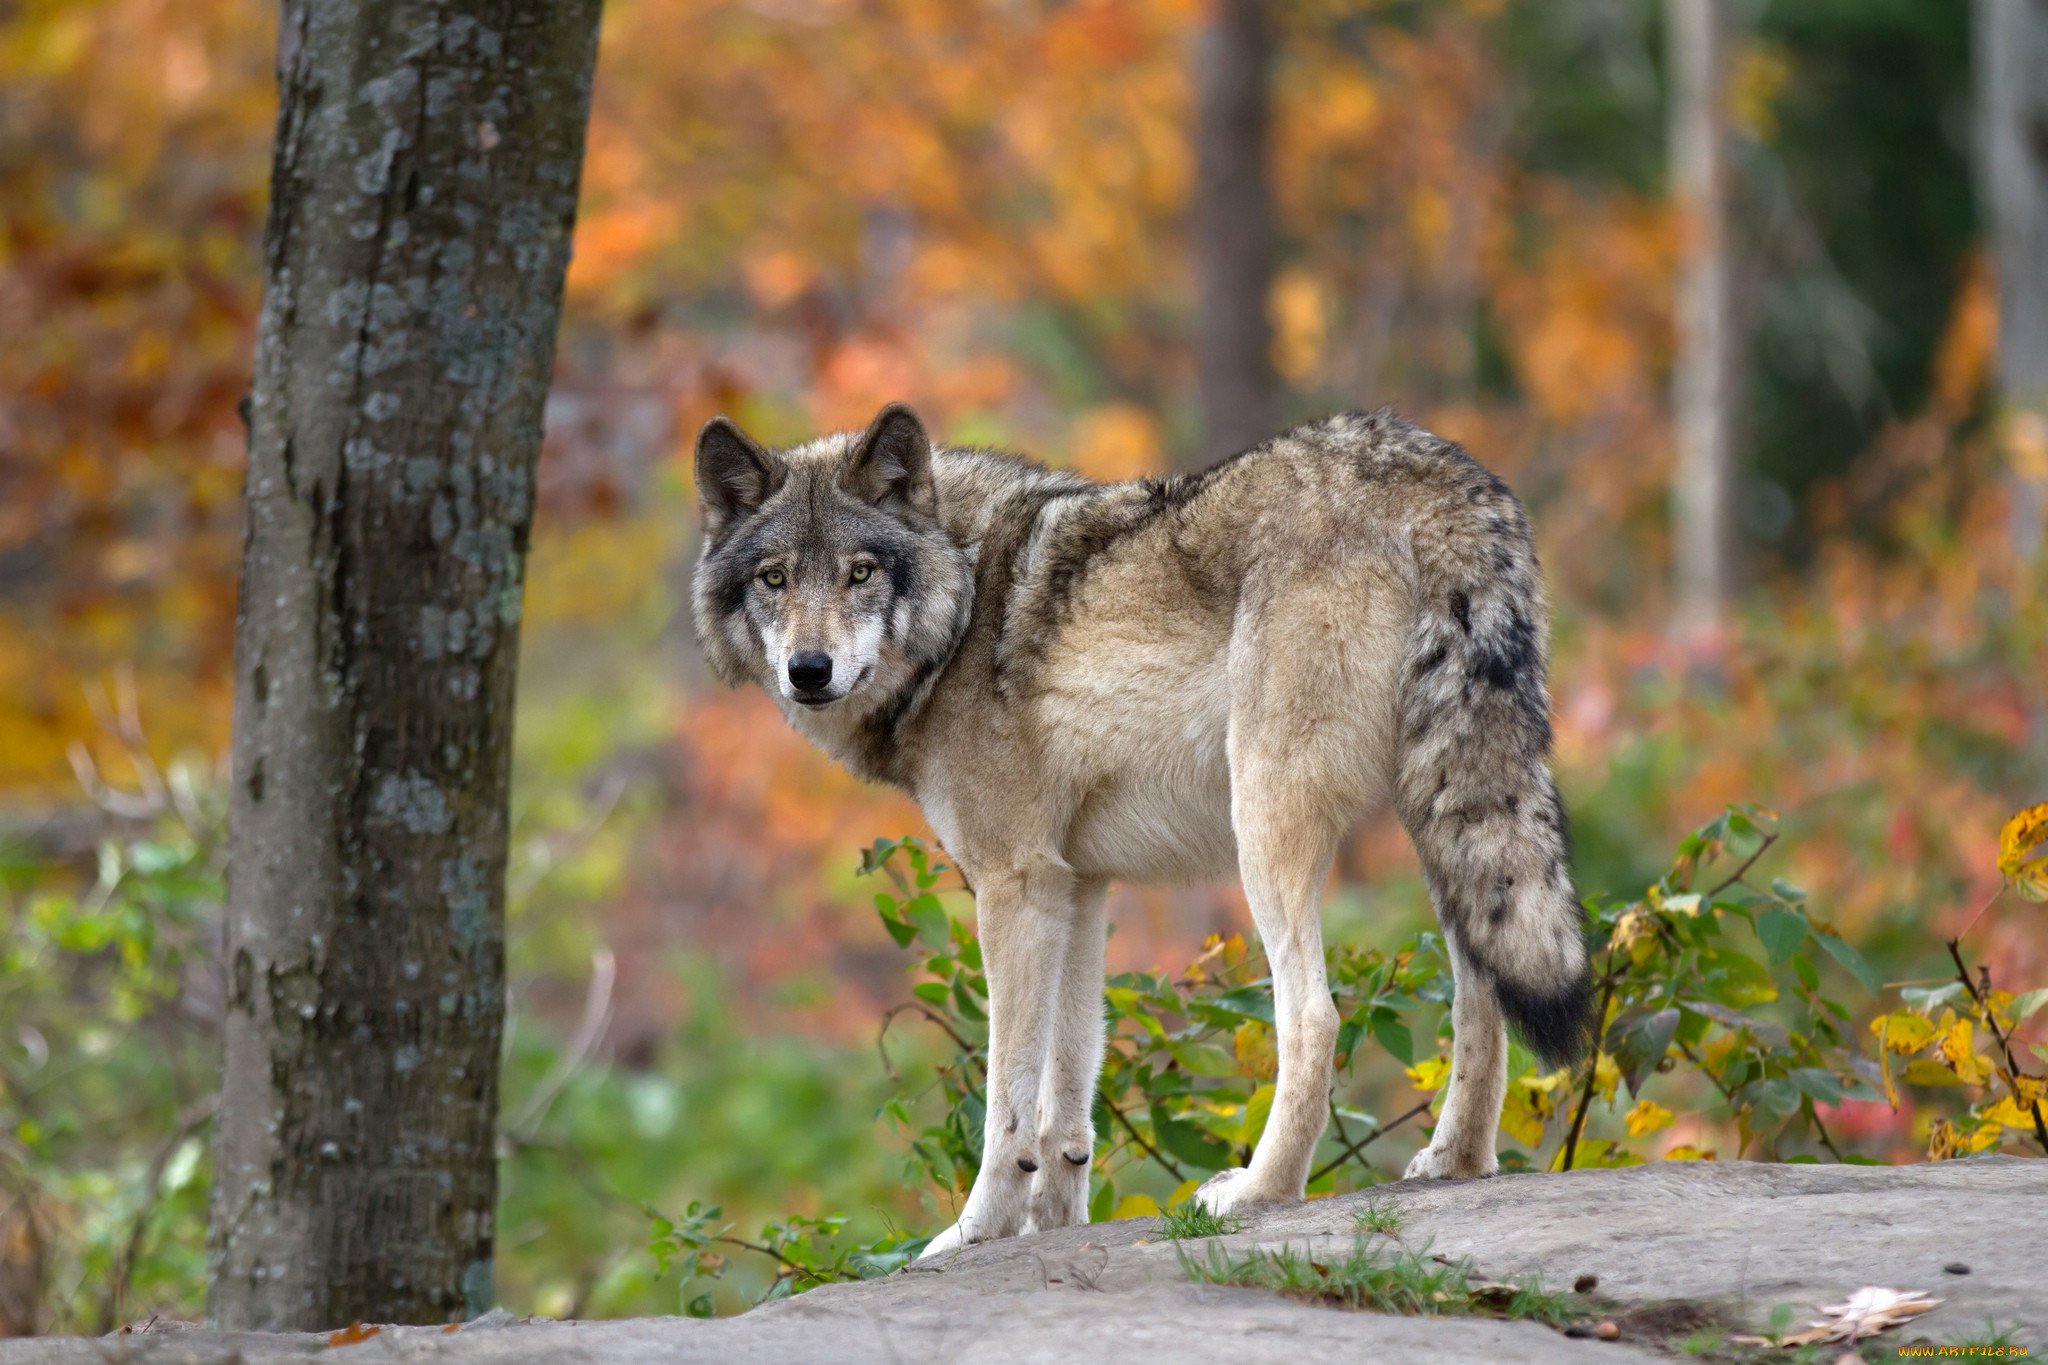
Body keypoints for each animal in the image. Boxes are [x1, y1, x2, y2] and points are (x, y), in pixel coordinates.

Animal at [696, 403, 1589, 1260]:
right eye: (775, 578)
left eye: (861, 571)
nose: (809, 671)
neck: (962, 609)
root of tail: (1436, 473)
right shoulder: (1077, 886)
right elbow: (1066, 1093)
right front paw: (1055, 1224)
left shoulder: (1015, 883)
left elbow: (1008, 1100)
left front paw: (976, 1232)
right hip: (1446, 812)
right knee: (1483, 995)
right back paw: (1456, 1162)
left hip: (1267, 820)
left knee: (1315, 1016)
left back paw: (1259, 1190)